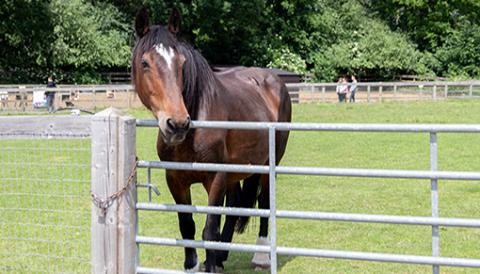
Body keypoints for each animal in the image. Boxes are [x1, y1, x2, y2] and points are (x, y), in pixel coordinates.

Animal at [131, 7, 290, 272]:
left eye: (182, 63)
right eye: (145, 63)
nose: (177, 124)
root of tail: (274, 80)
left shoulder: (215, 178)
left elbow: (209, 229)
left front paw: (211, 264)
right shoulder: (175, 180)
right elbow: (187, 226)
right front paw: (195, 264)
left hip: (269, 163)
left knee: (265, 202)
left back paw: (260, 256)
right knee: (235, 205)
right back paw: (222, 255)